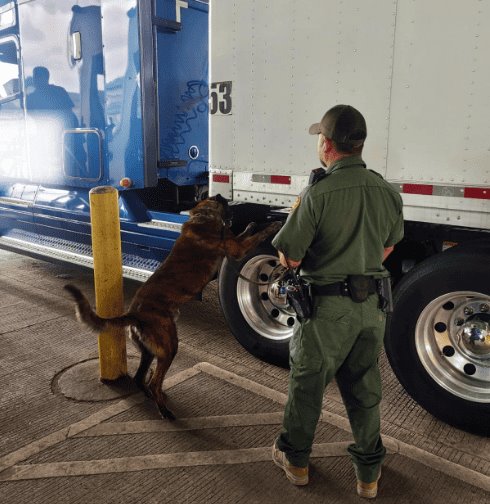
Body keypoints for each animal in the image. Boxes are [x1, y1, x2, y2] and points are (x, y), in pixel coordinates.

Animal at [65, 195, 282, 420]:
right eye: (230, 207)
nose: (236, 215)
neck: (203, 215)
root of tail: (135, 314)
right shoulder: (236, 249)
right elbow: (255, 236)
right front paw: (273, 225)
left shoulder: (234, 243)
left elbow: (245, 234)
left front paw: (252, 225)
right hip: (169, 346)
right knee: (153, 381)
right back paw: (164, 410)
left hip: (149, 351)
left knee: (140, 378)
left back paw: (154, 398)